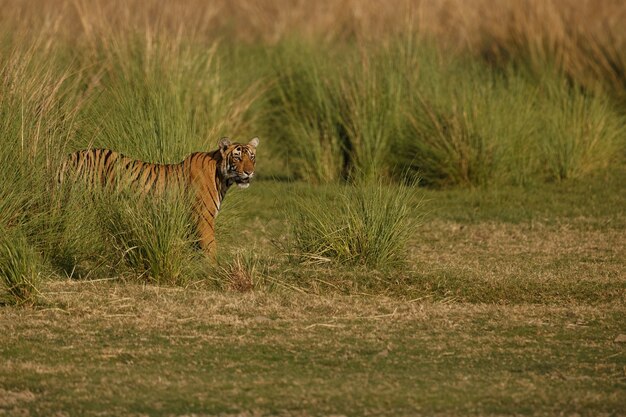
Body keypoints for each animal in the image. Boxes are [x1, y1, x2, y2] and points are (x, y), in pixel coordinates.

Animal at [56, 136, 256, 258]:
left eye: (252, 157)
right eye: (237, 157)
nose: (250, 172)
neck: (221, 178)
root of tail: (68, 157)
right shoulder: (203, 218)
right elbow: (210, 247)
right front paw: (213, 271)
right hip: (80, 204)